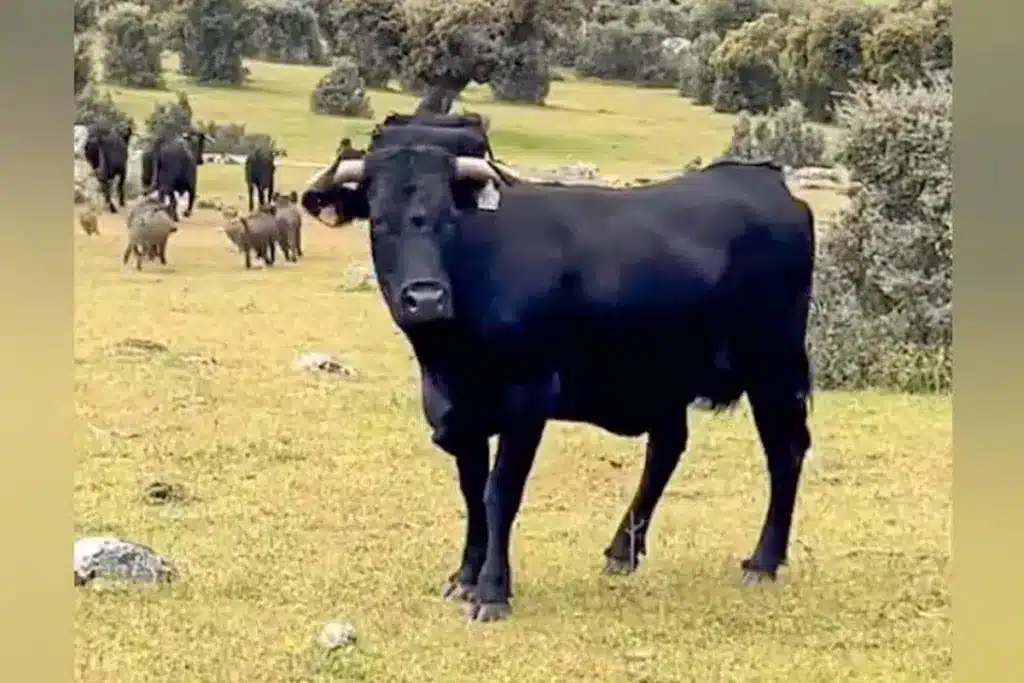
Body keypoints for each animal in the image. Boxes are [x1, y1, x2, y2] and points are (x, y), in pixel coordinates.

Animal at [300, 146, 817, 623]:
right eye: (379, 222)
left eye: (448, 220)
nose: (426, 298)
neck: (448, 357)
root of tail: (764, 181)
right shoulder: (462, 414)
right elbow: (472, 492)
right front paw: (465, 577)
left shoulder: (527, 400)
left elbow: (500, 493)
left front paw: (493, 591)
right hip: (665, 376)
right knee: (667, 448)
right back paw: (622, 552)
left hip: (776, 369)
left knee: (785, 453)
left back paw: (763, 561)